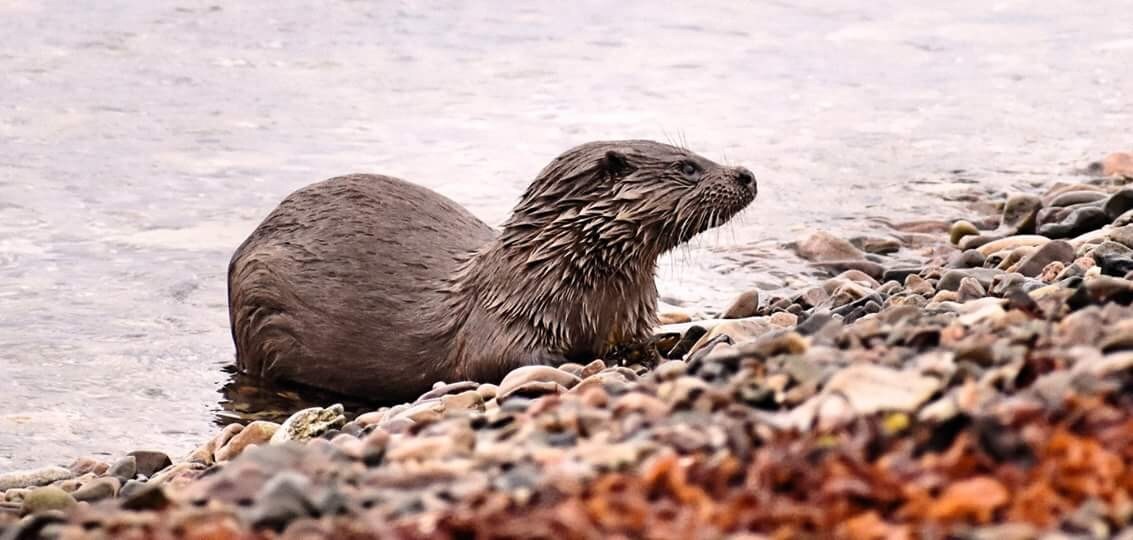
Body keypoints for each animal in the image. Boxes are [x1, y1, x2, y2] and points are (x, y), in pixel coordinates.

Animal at [225, 140, 756, 403]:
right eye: (688, 166)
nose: (746, 173)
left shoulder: (629, 318)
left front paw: (676, 343)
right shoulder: (503, 328)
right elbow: (504, 362)